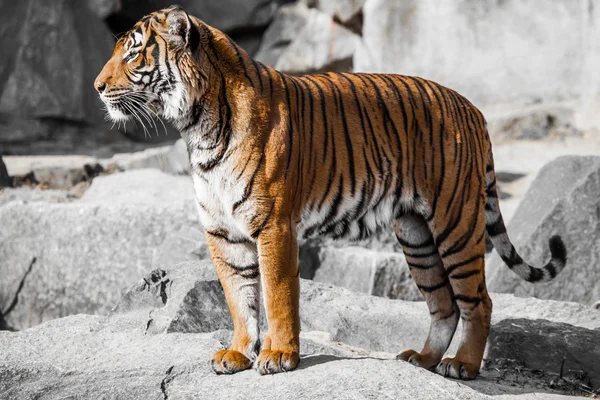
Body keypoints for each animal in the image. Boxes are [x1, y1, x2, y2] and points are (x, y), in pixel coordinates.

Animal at [95, 7, 568, 382]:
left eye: (133, 53)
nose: (98, 87)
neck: (198, 127)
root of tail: (473, 109)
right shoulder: (222, 232)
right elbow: (239, 298)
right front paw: (238, 353)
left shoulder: (273, 225)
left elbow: (277, 295)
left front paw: (279, 356)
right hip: (416, 235)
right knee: (444, 303)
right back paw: (423, 359)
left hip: (455, 223)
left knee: (478, 300)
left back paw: (463, 365)